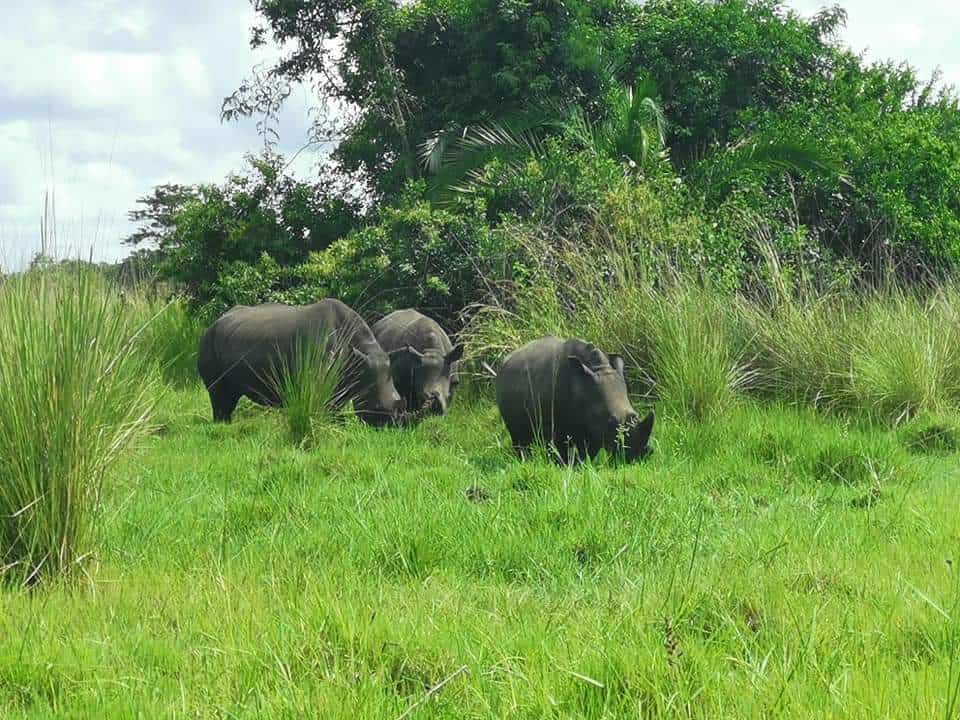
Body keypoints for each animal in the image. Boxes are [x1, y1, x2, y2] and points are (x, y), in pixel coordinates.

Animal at [197, 299, 404, 425]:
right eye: (376, 408)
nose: (390, 427)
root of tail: (214, 323)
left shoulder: (342, 382)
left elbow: (335, 409)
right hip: (208, 342)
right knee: (220, 395)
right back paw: (222, 424)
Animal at [494, 336, 654, 463]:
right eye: (611, 421)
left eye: (636, 415)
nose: (636, 457)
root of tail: (504, 361)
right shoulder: (560, 424)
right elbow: (561, 446)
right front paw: (564, 465)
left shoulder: (594, 426)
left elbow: (589, 450)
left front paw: (580, 464)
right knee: (518, 437)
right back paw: (525, 461)